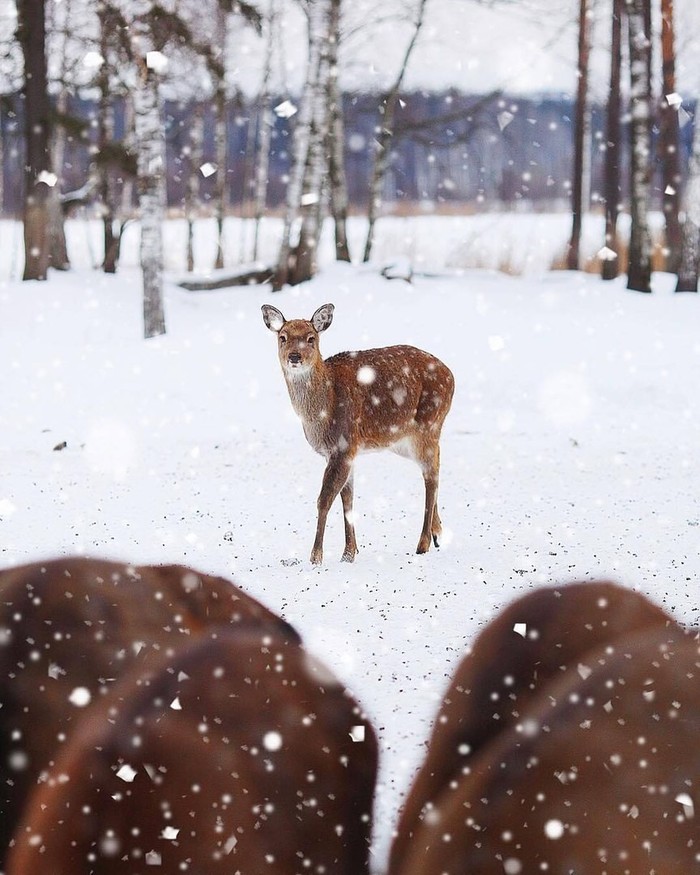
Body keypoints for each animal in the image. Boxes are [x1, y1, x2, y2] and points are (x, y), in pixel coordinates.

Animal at [262, 302, 454, 564]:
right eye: (283, 337)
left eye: (311, 338)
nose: (294, 356)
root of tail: (451, 376)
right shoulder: (345, 452)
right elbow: (347, 498)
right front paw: (349, 553)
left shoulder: (343, 445)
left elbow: (324, 499)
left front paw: (316, 557)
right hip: (404, 440)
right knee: (437, 464)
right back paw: (437, 532)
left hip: (427, 425)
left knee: (431, 476)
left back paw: (422, 543)